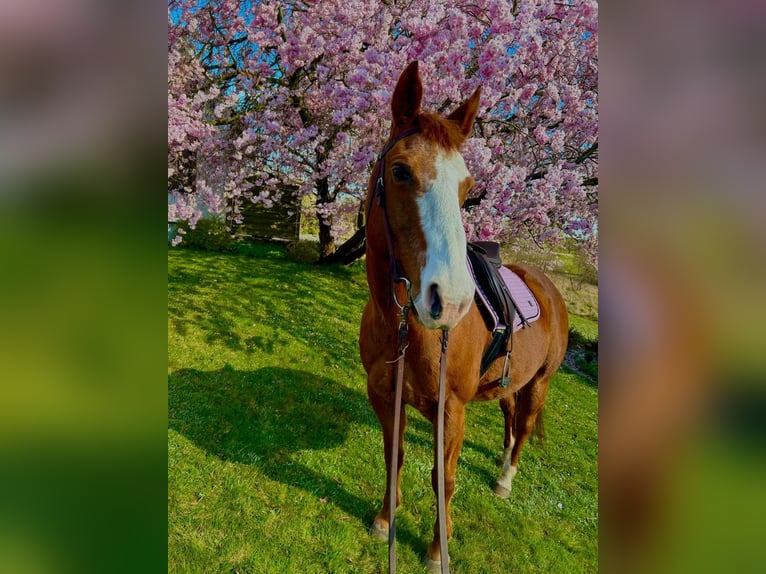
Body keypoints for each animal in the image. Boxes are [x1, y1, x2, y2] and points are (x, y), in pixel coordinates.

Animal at [359, 61, 569, 571]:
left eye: (468, 187)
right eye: (400, 171)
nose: (451, 301)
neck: (403, 329)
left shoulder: (450, 410)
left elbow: (444, 478)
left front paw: (439, 548)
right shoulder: (385, 397)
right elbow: (393, 458)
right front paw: (384, 520)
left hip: (540, 382)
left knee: (525, 425)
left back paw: (506, 479)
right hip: (510, 382)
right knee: (511, 417)